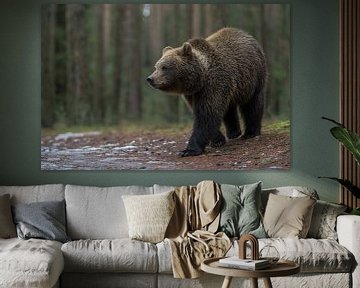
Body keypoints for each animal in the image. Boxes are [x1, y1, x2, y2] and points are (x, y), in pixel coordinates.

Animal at [146, 26, 268, 156]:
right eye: (156, 67)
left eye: (165, 67)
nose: (150, 79)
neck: (200, 79)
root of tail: (247, 34)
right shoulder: (193, 93)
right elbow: (204, 113)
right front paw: (217, 140)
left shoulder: (213, 84)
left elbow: (207, 114)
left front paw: (189, 150)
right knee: (229, 108)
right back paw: (233, 133)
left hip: (253, 77)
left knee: (253, 104)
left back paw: (250, 132)